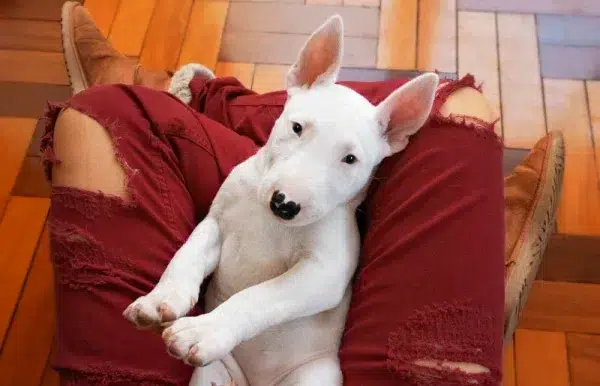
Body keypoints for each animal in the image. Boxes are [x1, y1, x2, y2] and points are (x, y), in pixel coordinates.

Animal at [123, 14, 440, 386]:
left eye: (350, 159)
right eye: (297, 127)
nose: (284, 204)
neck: (269, 222)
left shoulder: (324, 271)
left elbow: (259, 297)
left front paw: (204, 331)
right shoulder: (216, 223)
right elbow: (185, 257)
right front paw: (158, 301)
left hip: (315, 374)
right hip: (214, 374)